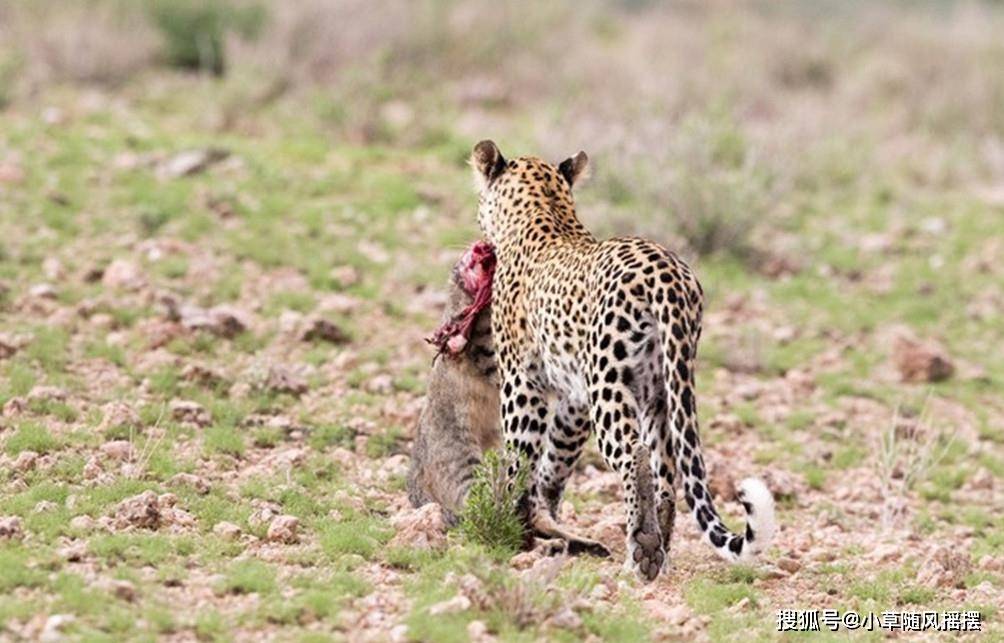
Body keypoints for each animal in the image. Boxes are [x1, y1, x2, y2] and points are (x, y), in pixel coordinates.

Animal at [467, 138, 775, 578]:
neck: (547, 212)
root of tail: (667, 274)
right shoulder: (575, 398)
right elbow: (555, 461)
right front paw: (544, 519)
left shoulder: (523, 384)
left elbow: (519, 458)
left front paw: (500, 523)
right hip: (663, 389)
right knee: (667, 470)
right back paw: (659, 550)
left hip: (610, 382)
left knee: (635, 455)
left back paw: (642, 550)